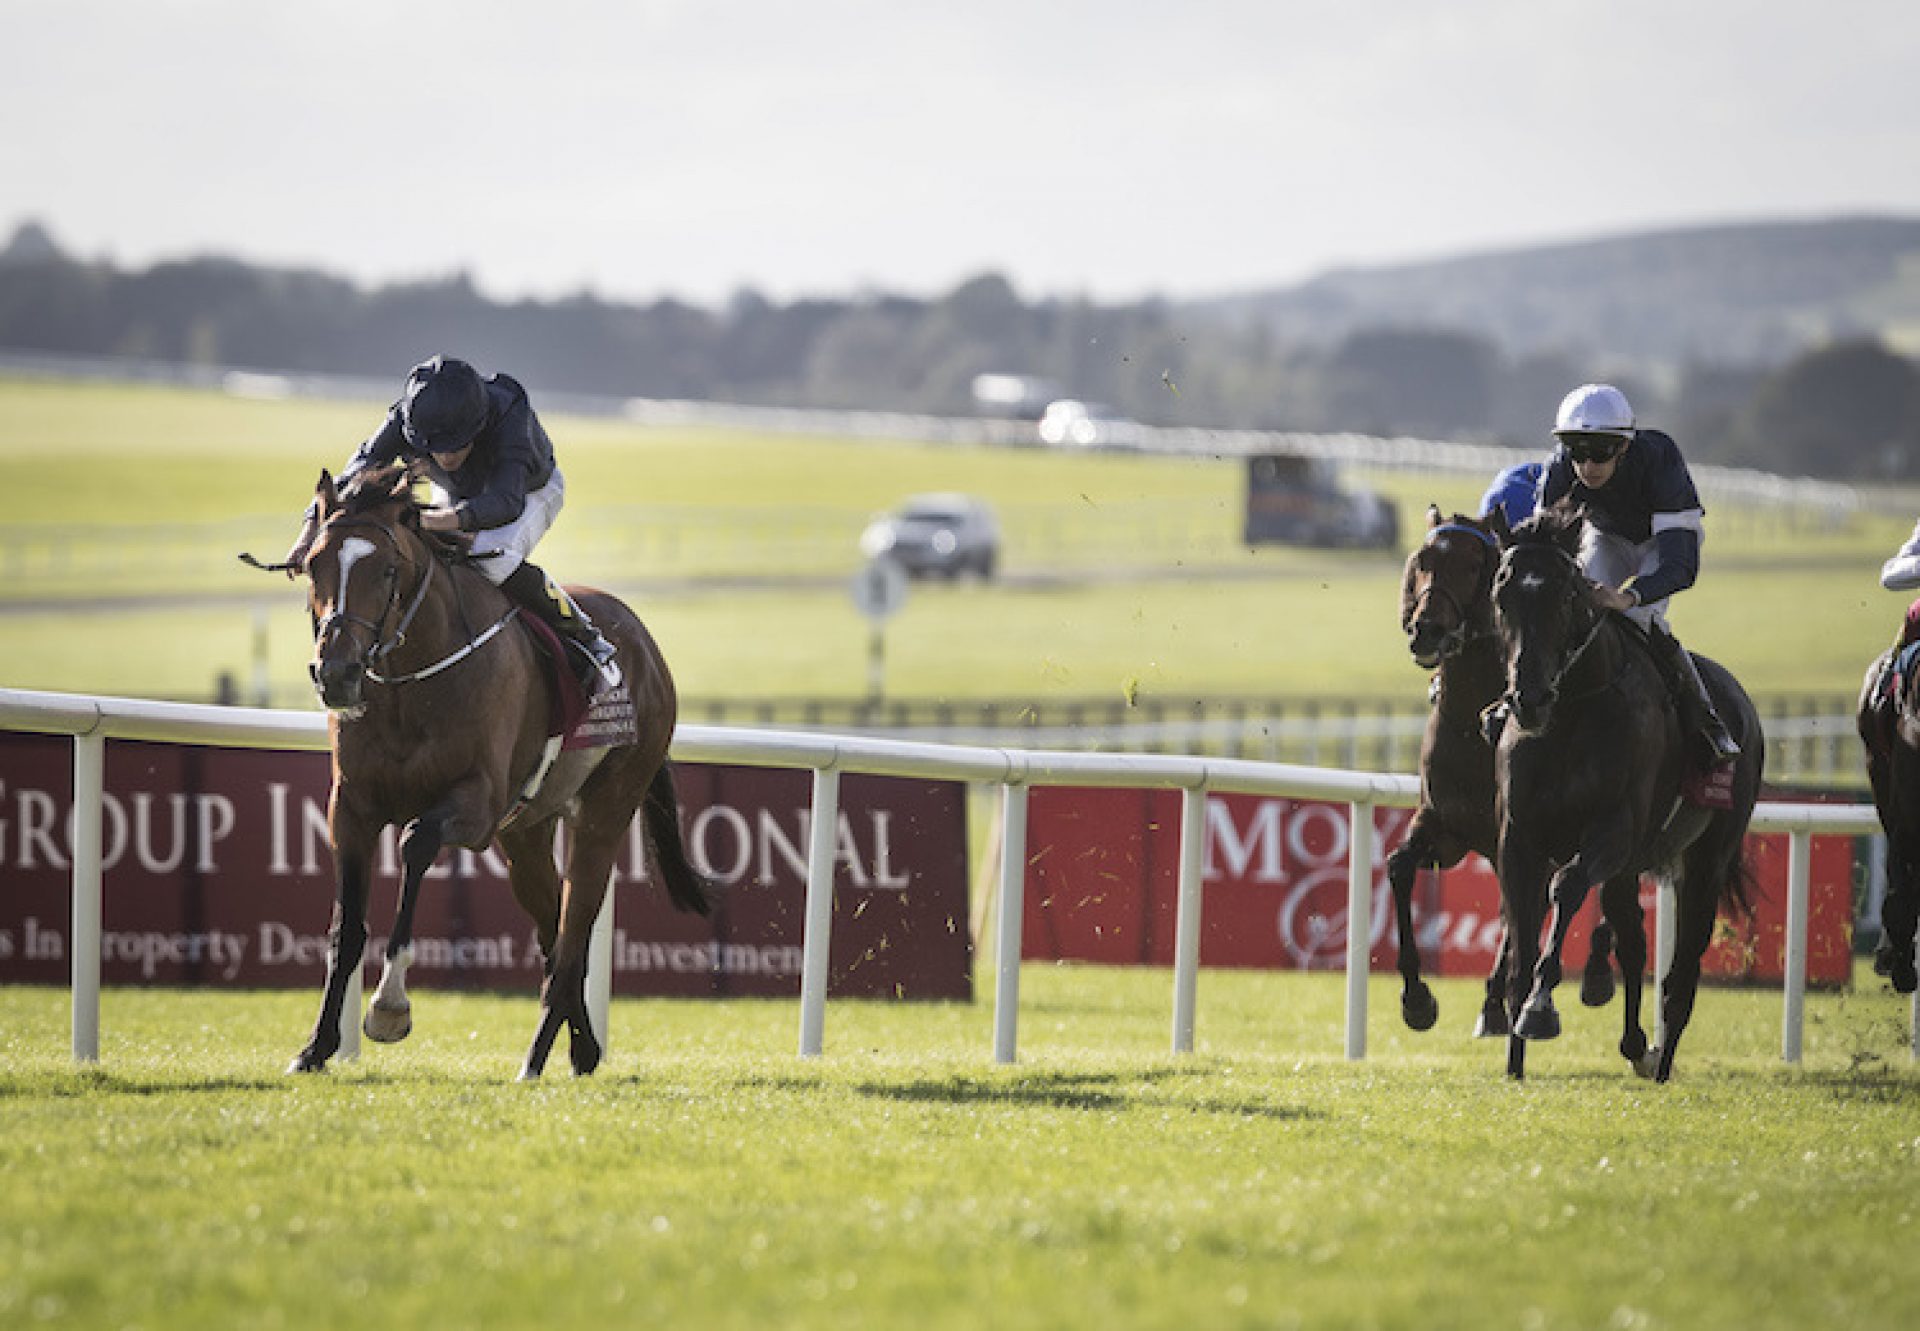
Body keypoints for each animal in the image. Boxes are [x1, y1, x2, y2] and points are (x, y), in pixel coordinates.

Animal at [284, 466, 706, 1083]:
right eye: (315, 564)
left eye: (386, 569)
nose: (336, 673)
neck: (412, 682)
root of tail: (647, 647)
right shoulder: (352, 809)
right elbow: (348, 929)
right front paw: (314, 1049)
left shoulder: (477, 808)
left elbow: (415, 842)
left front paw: (389, 1007)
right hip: (525, 835)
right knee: (555, 931)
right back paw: (581, 1049)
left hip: (604, 811)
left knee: (573, 932)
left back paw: (534, 1061)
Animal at [1390, 507, 1612, 1037]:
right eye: (1422, 559)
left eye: (1474, 566)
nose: (1426, 630)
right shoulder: (1445, 827)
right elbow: (1399, 868)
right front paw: (1417, 999)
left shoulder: (1521, 835)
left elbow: (1520, 915)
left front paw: (1498, 1004)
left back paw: (1596, 972)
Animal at [1489, 507, 1758, 1083]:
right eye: (1502, 593)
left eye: (1567, 594)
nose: (1530, 699)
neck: (1571, 710)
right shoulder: (1517, 839)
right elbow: (1521, 928)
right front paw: (1514, 1058)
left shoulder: (1613, 830)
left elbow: (1567, 887)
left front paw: (1540, 1010)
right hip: (1630, 867)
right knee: (1633, 941)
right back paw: (1637, 1044)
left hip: (1706, 859)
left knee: (1684, 968)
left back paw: (1663, 1059)